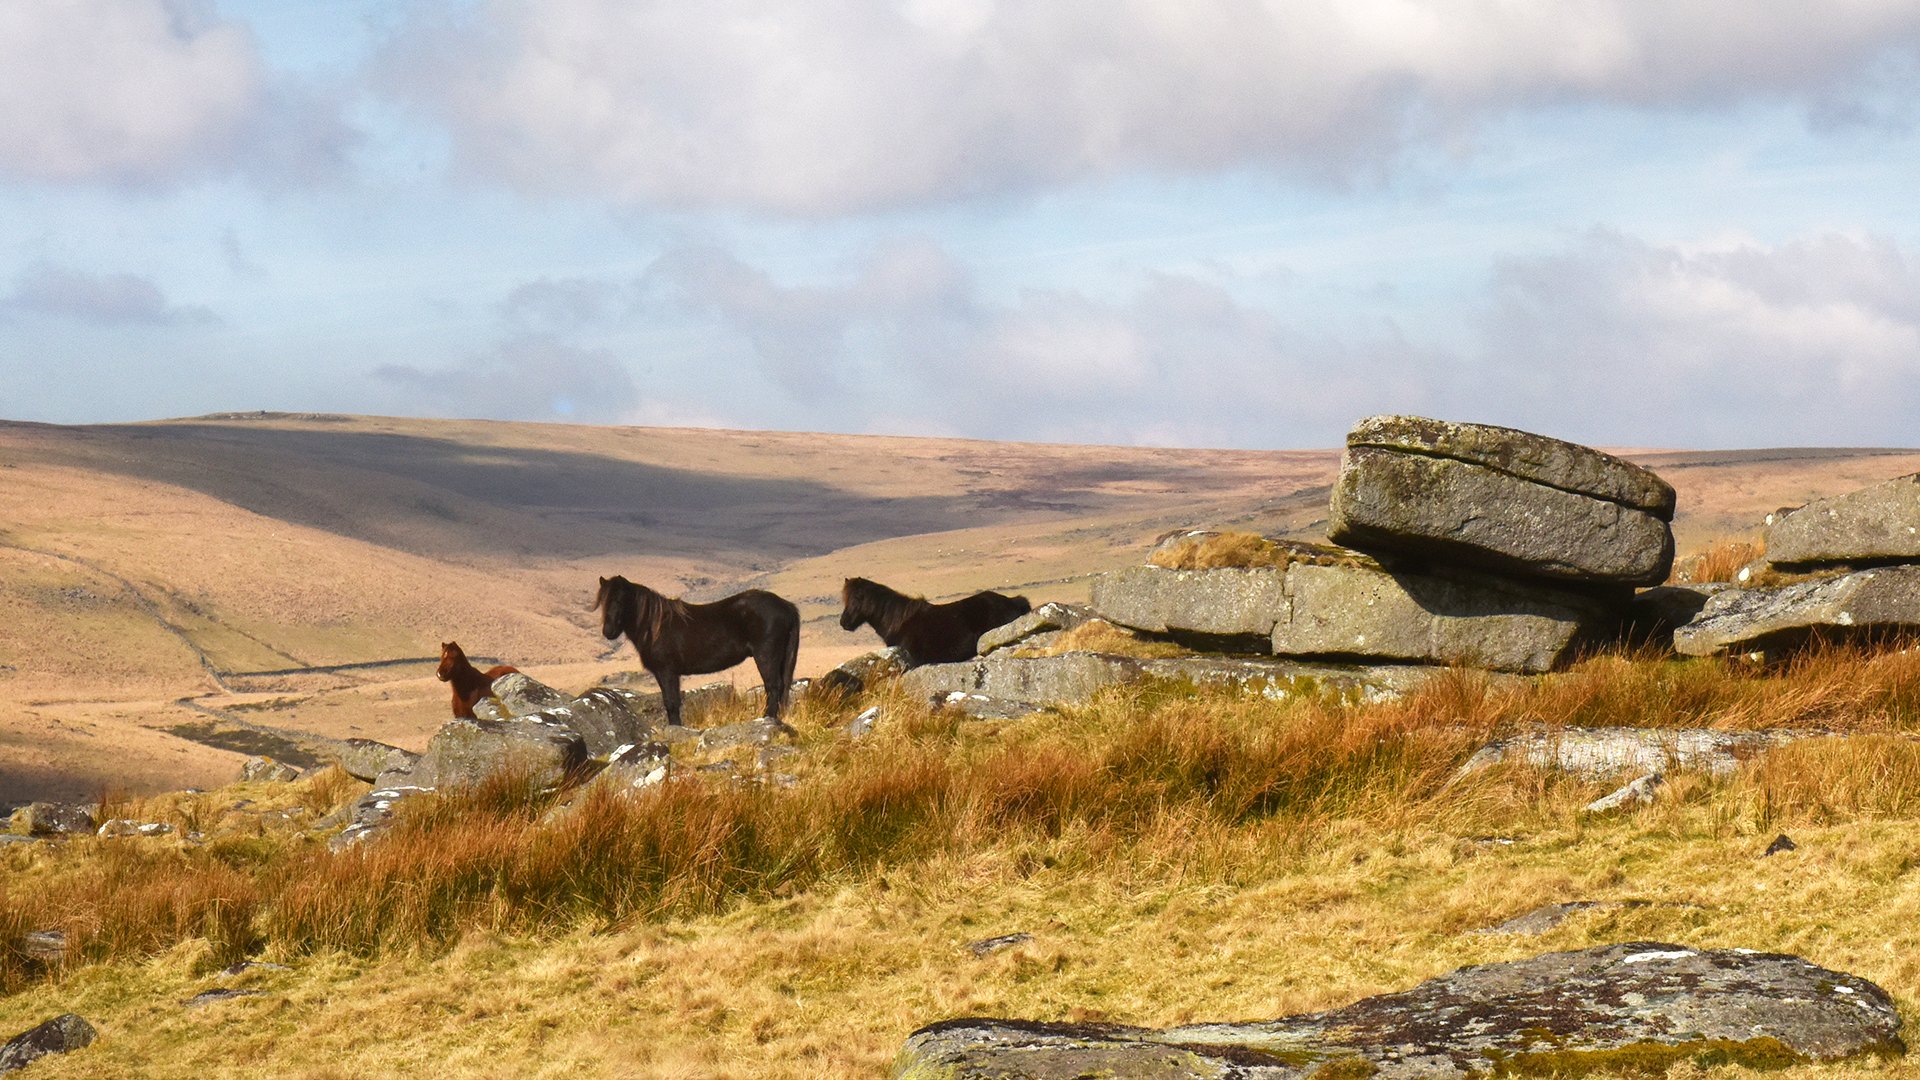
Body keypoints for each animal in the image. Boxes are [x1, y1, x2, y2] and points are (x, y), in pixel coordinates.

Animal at [595, 572, 798, 730]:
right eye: (603, 601)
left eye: (621, 599)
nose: (609, 632)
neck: (655, 626)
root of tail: (786, 605)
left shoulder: (666, 672)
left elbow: (671, 703)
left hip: (766, 656)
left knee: (773, 687)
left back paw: (767, 719)